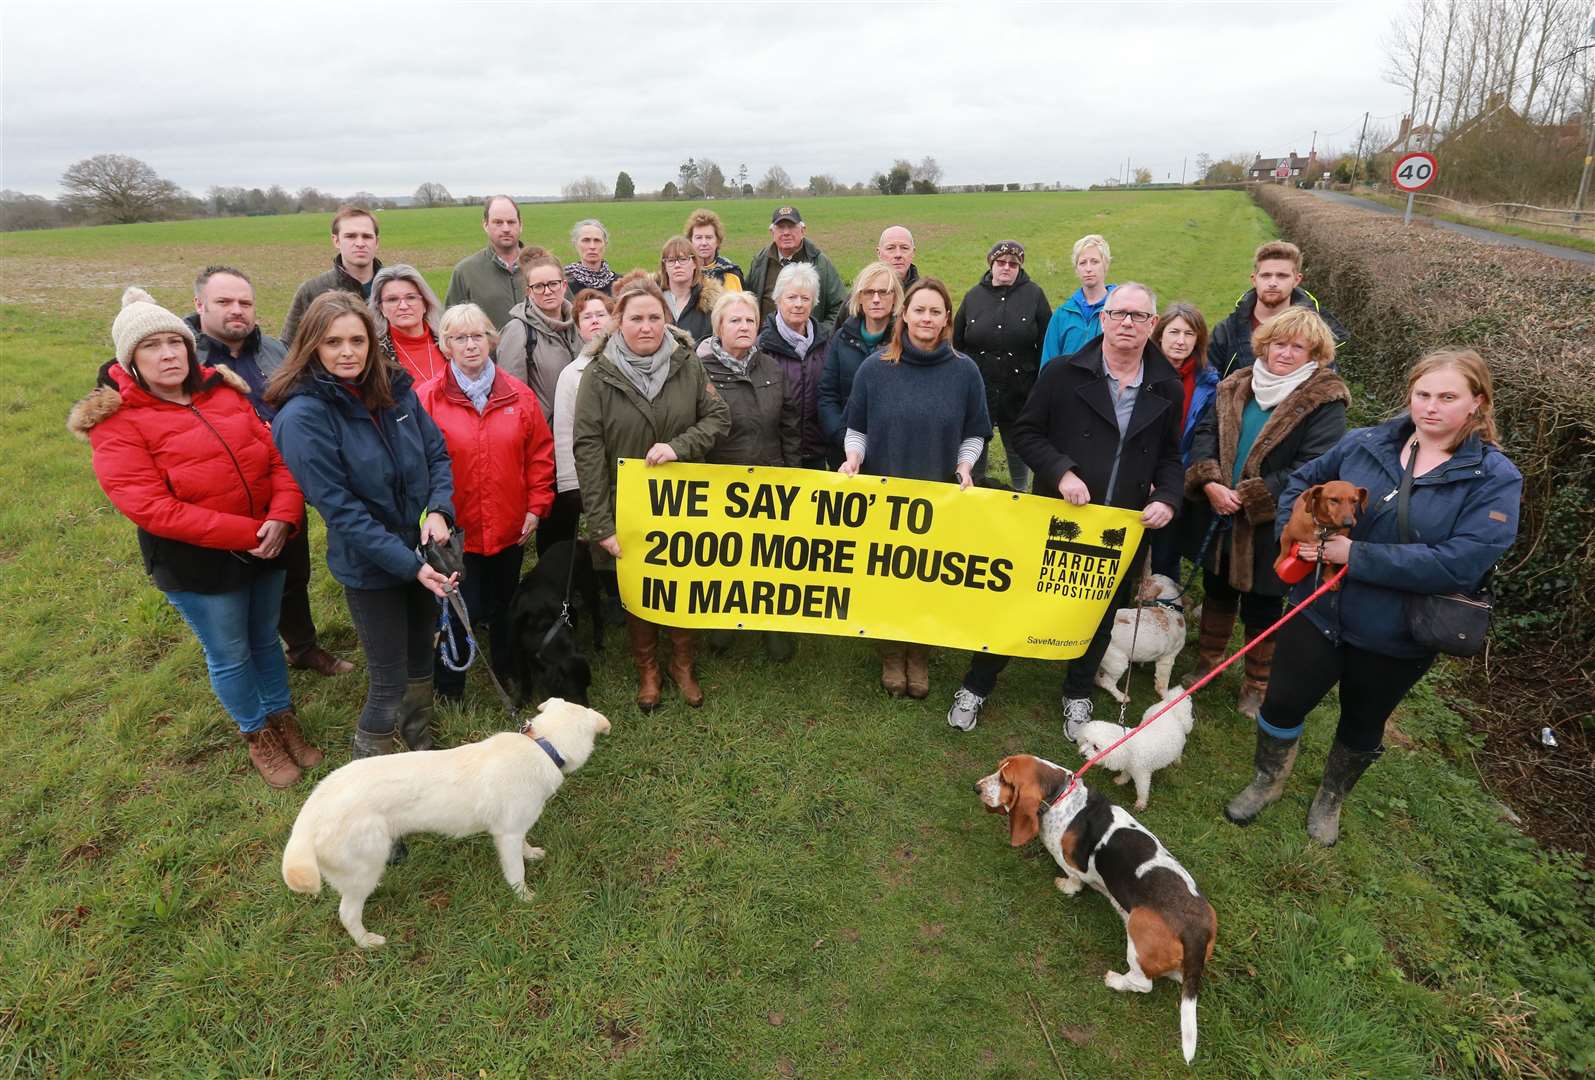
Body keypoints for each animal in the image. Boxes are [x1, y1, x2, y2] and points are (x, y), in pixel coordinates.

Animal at [510, 539, 602, 708]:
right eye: (573, 691)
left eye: (587, 686)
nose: (587, 708)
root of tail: (580, 541)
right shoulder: (518, 650)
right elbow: (526, 677)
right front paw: (523, 700)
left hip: (588, 586)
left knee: (598, 615)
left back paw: (598, 643)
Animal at [969, 749, 1218, 1059]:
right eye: (998, 769)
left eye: (1006, 780)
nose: (976, 787)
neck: (1062, 796)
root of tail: (1195, 930)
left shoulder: (1073, 865)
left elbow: (1075, 880)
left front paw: (1065, 887)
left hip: (1138, 932)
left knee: (1143, 983)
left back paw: (1115, 979)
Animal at [1071, 692, 1199, 810]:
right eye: (1086, 741)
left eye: (1096, 747)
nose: (1082, 754)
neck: (1128, 745)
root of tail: (1174, 709)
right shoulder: (1128, 765)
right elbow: (1125, 774)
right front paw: (1121, 780)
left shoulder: (1142, 774)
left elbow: (1142, 790)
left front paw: (1140, 804)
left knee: (1178, 753)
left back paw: (1177, 762)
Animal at [1097, 567, 1186, 701]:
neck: (1168, 608)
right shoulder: (1168, 658)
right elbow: (1163, 681)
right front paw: (1167, 696)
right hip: (1118, 662)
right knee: (1105, 682)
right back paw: (1122, 697)